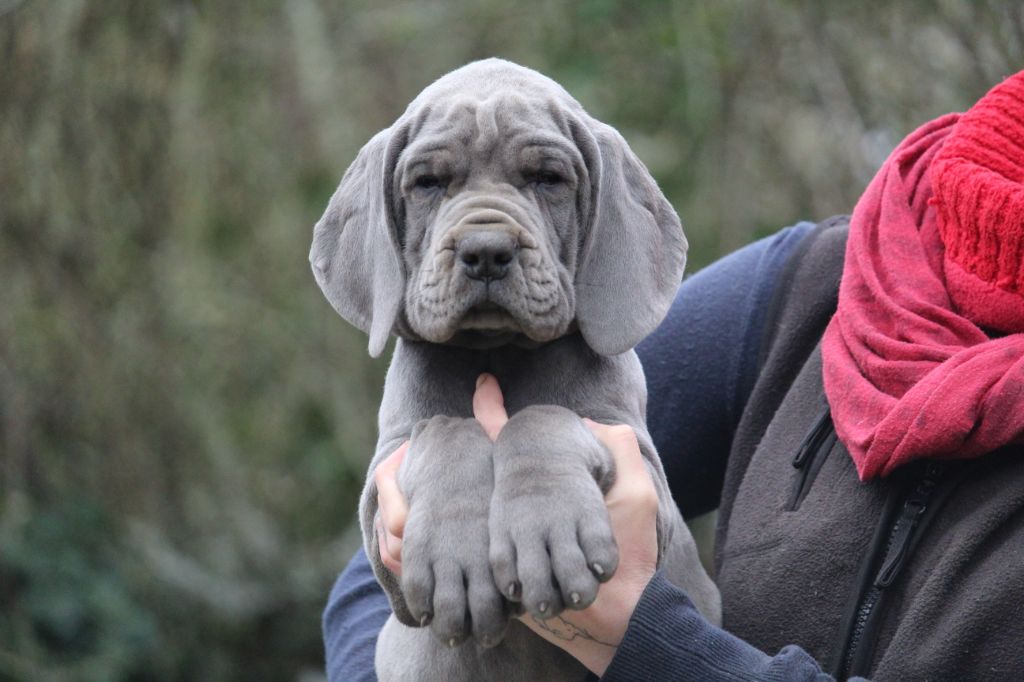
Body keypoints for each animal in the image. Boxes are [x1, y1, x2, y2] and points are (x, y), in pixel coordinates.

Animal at [311, 59, 720, 679]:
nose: (485, 251)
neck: (498, 350)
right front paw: (455, 555)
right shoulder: (383, 488)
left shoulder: (643, 472)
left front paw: (548, 531)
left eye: (548, 179)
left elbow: (543, 417)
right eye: (427, 184)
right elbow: (446, 430)